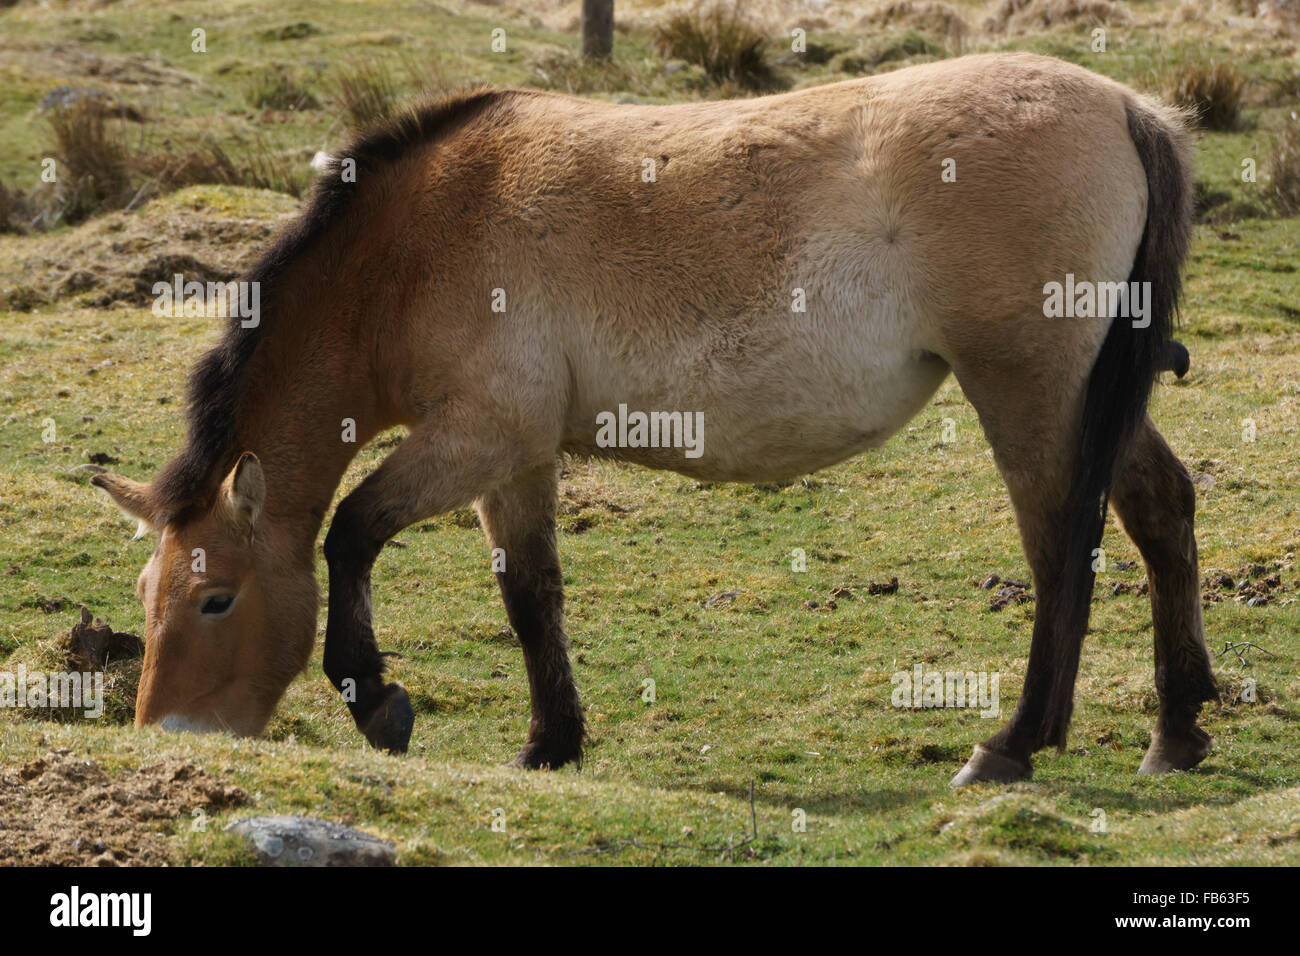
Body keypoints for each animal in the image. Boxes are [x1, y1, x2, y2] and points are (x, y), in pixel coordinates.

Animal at [94, 54, 1216, 785]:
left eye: (215, 600)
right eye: (149, 595)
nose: (170, 734)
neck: (414, 246)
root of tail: (1126, 106)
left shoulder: (478, 437)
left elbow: (351, 532)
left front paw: (376, 700)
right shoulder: (516, 458)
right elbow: (530, 593)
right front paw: (549, 743)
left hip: (1031, 391)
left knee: (1060, 548)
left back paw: (1013, 744)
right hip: (1087, 393)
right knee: (1161, 510)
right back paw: (1177, 733)